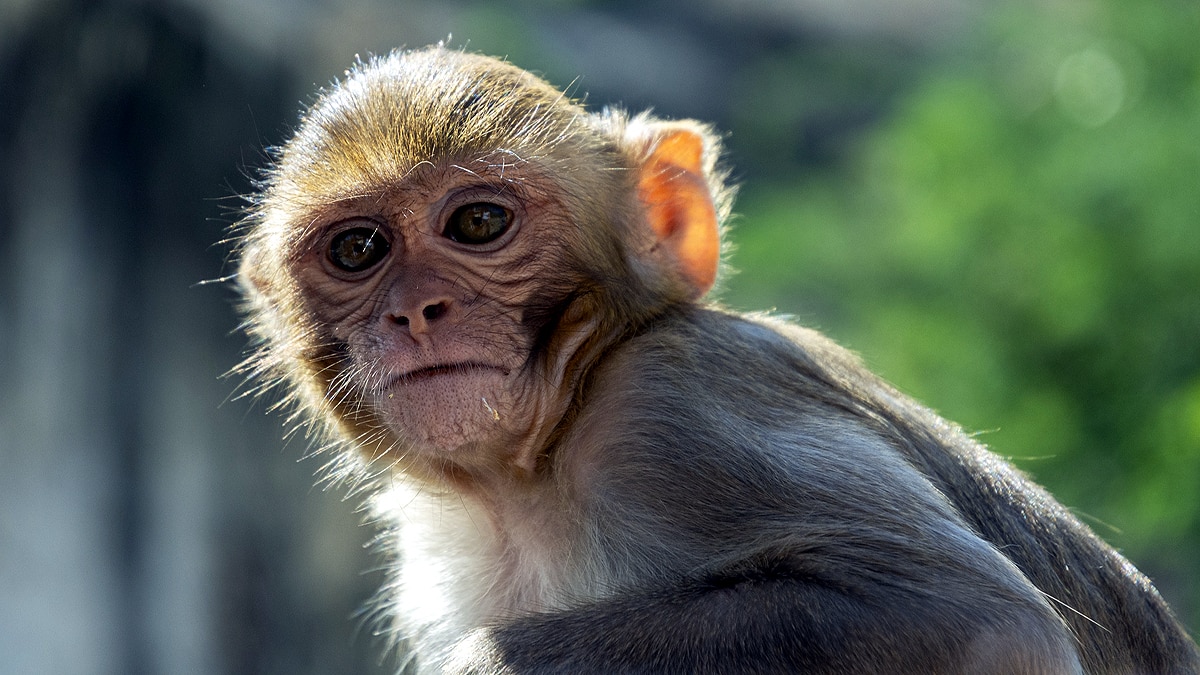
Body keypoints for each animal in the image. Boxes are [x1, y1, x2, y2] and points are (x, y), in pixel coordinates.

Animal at [233, 46, 1200, 674]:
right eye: (358, 249)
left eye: (477, 222)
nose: (416, 311)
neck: (533, 472)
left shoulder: (674, 413)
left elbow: (981, 620)